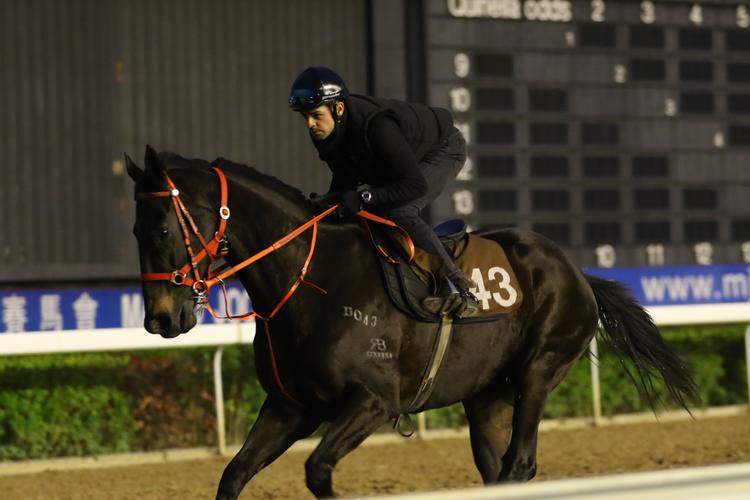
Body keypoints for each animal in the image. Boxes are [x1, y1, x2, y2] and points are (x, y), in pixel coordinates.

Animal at [125, 146, 700, 498]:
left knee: (519, 462)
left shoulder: (374, 403)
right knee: (498, 469)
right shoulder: (291, 408)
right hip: (487, 396)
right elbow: (234, 474)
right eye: (134, 230)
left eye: (161, 228)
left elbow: (318, 470)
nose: (160, 318)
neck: (311, 282)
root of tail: (577, 272)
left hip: (541, 368)